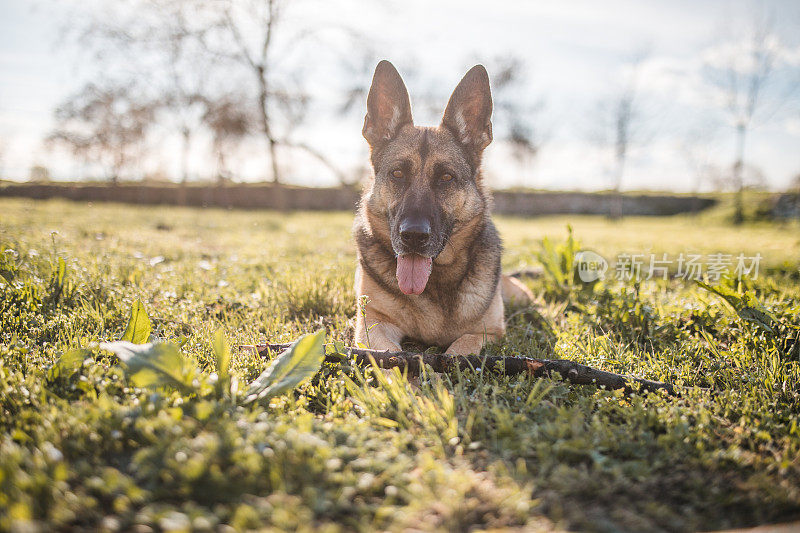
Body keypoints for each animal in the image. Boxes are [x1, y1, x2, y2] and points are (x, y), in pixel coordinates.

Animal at [354, 60, 532, 356]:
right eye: (398, 173)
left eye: (446, 177)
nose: (413, 236)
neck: (435, 280)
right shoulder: (373, 325)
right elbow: (392, 356)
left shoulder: (488, 332)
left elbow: (460, 350)